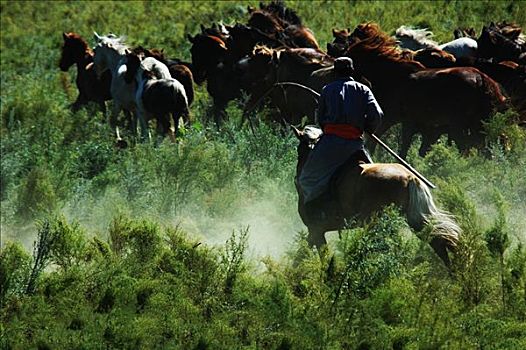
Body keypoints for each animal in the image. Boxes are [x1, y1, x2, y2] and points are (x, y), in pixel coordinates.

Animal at [294, 125, 464, 266]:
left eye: (298, 149)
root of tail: (410, 177)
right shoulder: (316, 231)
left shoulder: (316, 229)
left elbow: (309, 255)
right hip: (412, 220)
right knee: (436, 241)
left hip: (378, 224)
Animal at [346, 22, 508, 157]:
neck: (395, 75)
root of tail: (482, 80)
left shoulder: (398, 120)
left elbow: (394, 147)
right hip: (478, 125)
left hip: (460, 126)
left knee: (469, 149)